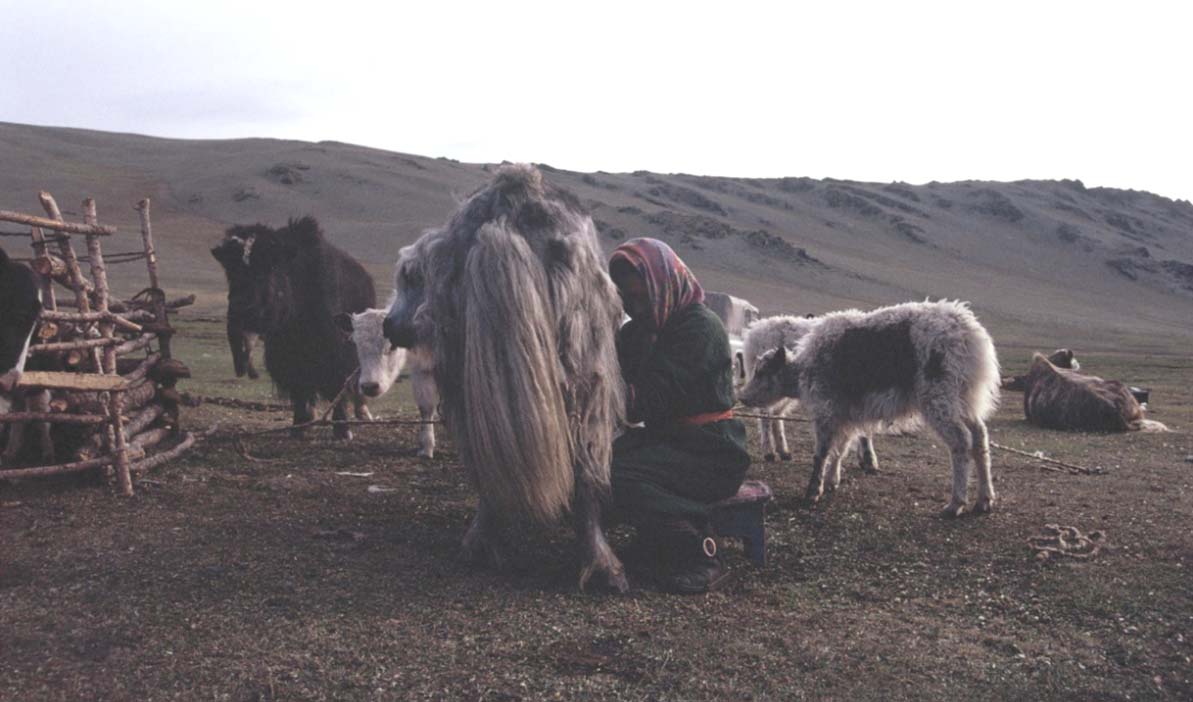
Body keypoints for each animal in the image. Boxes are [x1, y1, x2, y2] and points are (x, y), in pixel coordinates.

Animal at [739, 298, 1002, 518]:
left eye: (762, 372)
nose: (742, 397)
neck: (804, 368)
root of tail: (969, 333)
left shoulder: (827, 411)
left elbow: (822, 452)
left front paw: (813, 491)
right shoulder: (845, 415)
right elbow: (840, 449)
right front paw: (833, 481)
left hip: (939, 399)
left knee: (961, 441)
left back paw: (955, 504)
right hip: (963, 401)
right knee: (980, 438)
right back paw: (984, 500)